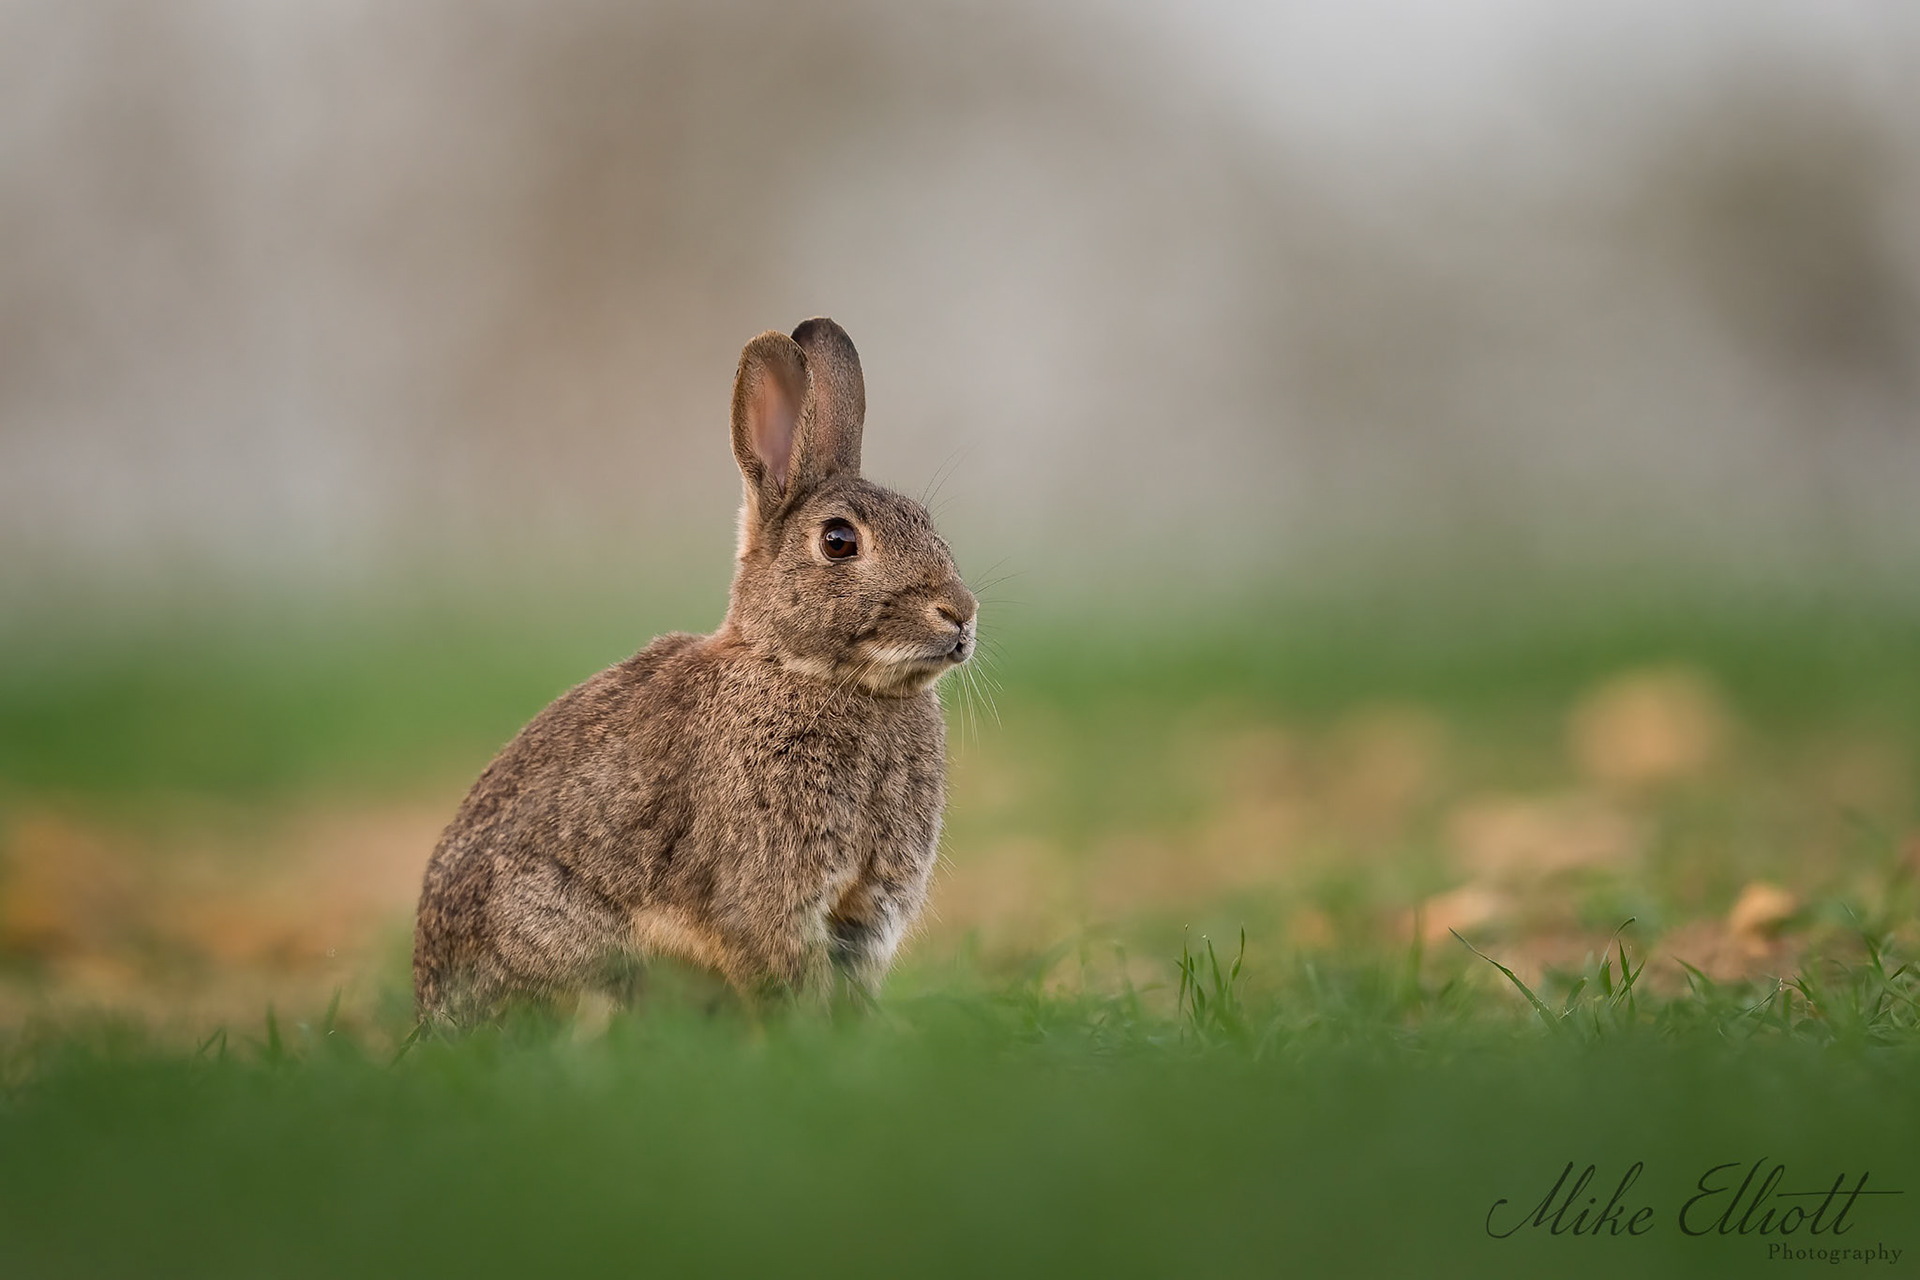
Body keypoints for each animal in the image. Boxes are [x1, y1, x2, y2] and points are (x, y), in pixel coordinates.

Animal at [412, 318, 978, 1024]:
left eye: (930, 527)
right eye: (839, 541)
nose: (961, 612)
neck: (811, 672)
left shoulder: (869, 910)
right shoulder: (770, 890)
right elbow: (786, 972)